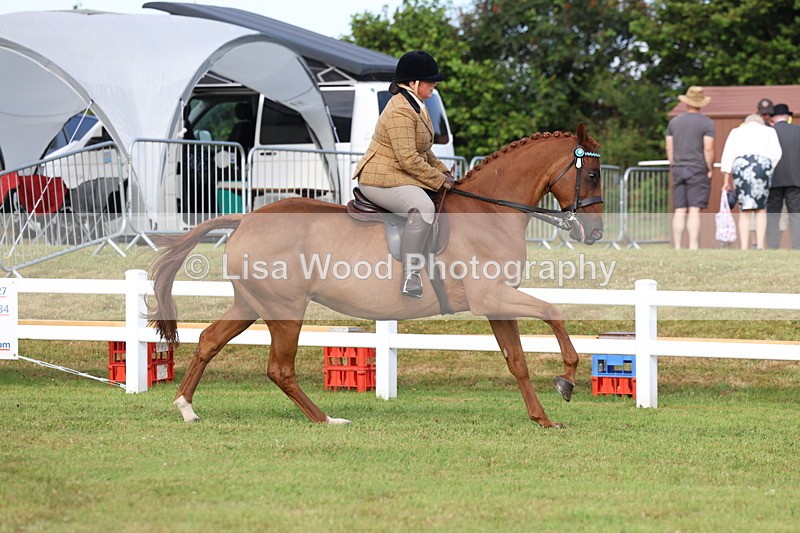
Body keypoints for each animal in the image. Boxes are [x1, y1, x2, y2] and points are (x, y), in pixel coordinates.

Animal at [149, 123, 604, 428]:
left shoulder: (497, 303)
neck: (489, 211)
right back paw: (326, 420)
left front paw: (542, 419)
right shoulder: (491, 297)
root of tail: (245, 218)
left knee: (210, 340)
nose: (595, 233)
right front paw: (566, 380)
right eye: (593, 174)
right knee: (280, 368)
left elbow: (517, 361)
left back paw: (186, 408)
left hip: (251, 303)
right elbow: (554, 313)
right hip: (286, 308)